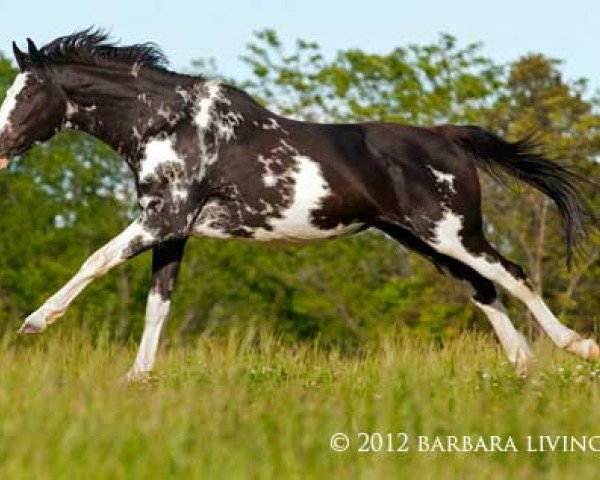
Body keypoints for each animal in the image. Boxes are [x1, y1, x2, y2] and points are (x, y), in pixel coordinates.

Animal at [0, 31, 596, 382]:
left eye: (25, 95)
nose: (0, 147)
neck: (169, 123)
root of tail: (446, 136)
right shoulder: (174, 231)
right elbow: (158, 304)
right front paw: (137, 379)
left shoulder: (160, 221)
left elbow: (95, 261)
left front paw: (34, 323)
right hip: (425, 240)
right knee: (483, 290)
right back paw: (522, 368)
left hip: (453, 233)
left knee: (513, 275)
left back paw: (577, 347)